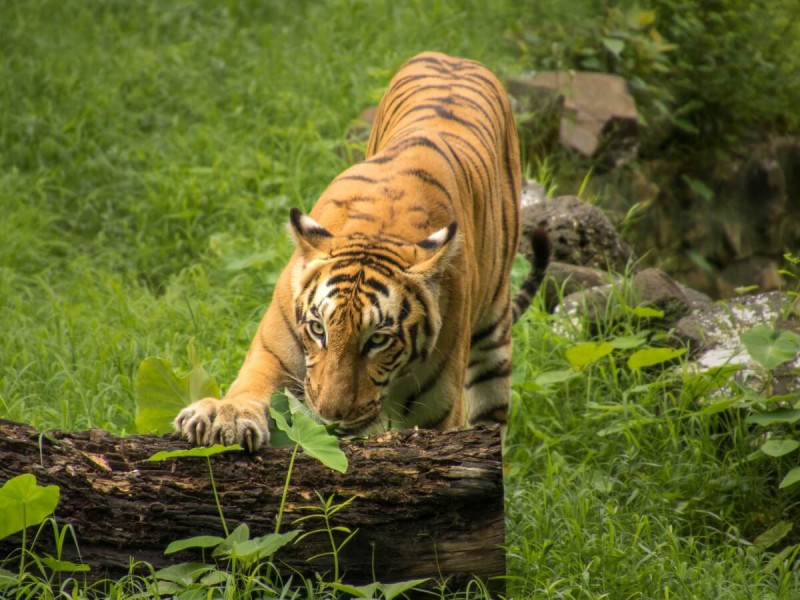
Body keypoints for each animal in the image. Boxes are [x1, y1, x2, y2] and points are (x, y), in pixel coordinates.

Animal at [175, 52, 552, 450]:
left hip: (494, 336)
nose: (330, 415)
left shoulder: (439, 410)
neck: (380, 229)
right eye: (318, 329)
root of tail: (453, 58)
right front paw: (223, 417)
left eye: (378, 340)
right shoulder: (273, 351)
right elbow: (250, 386)